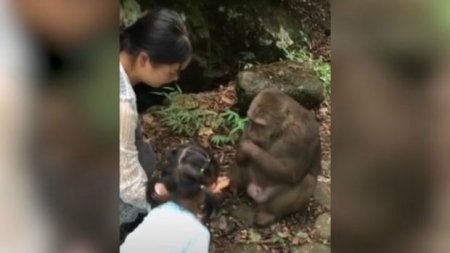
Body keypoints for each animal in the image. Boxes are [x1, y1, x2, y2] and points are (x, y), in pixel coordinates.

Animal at [230, 88, 322, 225]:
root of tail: (255, 191)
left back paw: (269, 214)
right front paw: (243, 149)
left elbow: (291, 172)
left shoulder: (299, 136)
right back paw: (235, 186)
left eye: (260, 125)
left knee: (308, 181)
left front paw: (248, 148)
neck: (282, 129)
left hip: (268, 197)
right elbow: (241, 150)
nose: (252, 132)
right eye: (251, 121)